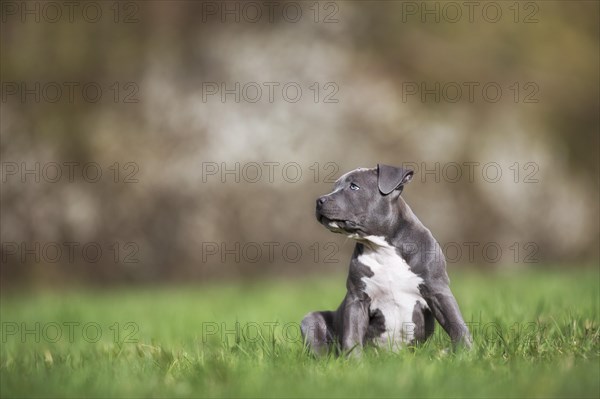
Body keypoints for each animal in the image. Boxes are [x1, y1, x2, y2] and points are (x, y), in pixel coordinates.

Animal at [302, 165, 472, 356]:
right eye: (334, 187)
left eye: (354, 186)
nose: (319, 201)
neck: (382, 248)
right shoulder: (357, 298)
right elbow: (352, 335)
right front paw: (355, 361)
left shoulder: (437, 290)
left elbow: (456, 324)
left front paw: (466, 354)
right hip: (310, 320)